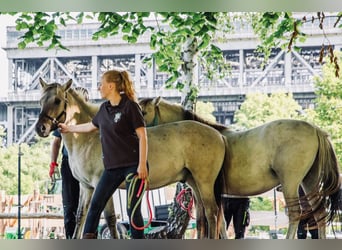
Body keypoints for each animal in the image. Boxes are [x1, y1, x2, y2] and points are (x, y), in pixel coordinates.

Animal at [34, 79, 227, 239]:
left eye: (57, 100)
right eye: (40, 101)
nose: (40, 128)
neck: (89, 138)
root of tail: (219, 136)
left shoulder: (100, 184)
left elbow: (110, 219)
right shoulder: (86, 187)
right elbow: (81, 217)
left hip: (204, 182)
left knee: (212, 213)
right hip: (194, 182)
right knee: (206, 216)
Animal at [140, 96, 342, 238]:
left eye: (143, 112)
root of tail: (316, 130)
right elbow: (219, 223)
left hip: (290, 182)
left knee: (295, 214)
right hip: (309, 181)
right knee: (320, 213)